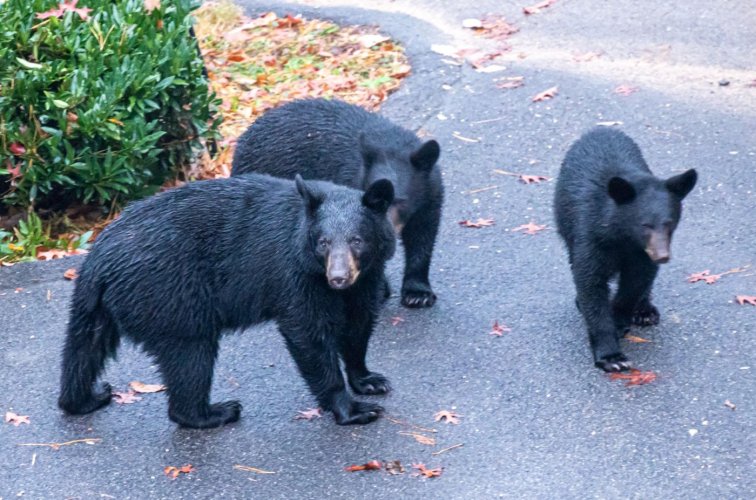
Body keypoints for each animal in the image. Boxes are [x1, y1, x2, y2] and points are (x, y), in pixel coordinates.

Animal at [59, 174, 396, 428]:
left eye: (357, 240)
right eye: (324, 242)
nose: (338, 277)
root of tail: (99, 259)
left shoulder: (367, 278)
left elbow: (358, 324)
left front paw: (368, 379)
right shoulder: (295, 274)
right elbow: (307, 331)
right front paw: (354, 409)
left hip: (98, 305)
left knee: (84, 348)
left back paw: (87, 397)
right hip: (171, 295)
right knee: (191, 354)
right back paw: (215, 412)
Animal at [230, 97, 442, 308]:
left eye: (400, 201)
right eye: (374, 196)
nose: (386, 229)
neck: (391, 143)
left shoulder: (430, 195)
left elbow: (422, 236)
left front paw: (418, 293)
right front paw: (380, 288)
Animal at [552, 128, 700, 372]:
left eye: (669, 223)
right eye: (645, 224)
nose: (662, 256)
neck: (622, 237)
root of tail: (600, 129)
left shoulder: (641, 254)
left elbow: (636, 280)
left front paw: (621, 317)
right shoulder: (590, 235)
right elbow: (589, 281)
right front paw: (612, 357)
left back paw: (645, 310)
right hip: (563, 220)